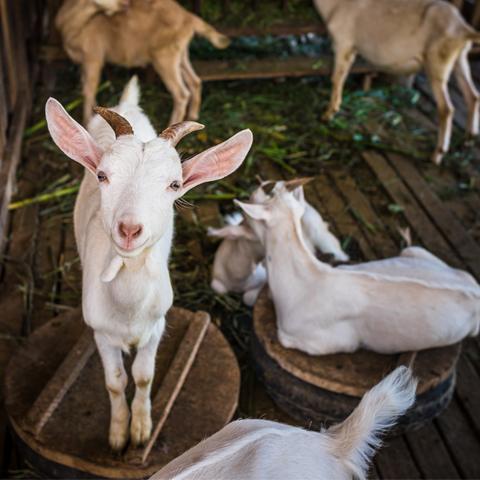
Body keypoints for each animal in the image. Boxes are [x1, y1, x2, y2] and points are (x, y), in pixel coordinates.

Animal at [45, 76, 255, 450]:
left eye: (174, 184)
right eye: (102, 175)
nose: (129, 229)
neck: (129, 307)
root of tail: (129, 103)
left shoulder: (157, 326)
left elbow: (143, 377)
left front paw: (141, 429)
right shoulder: (101, 332)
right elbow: (115, 381)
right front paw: (118, 433)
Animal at [314, 0, 480, 164]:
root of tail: (463, 29)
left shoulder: (344, 44)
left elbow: (336, 79)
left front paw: (328, 114)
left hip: (438, 63)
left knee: (446, 109)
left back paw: (437, 154)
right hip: (460, 59)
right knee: (473, 96)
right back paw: (469, 138)